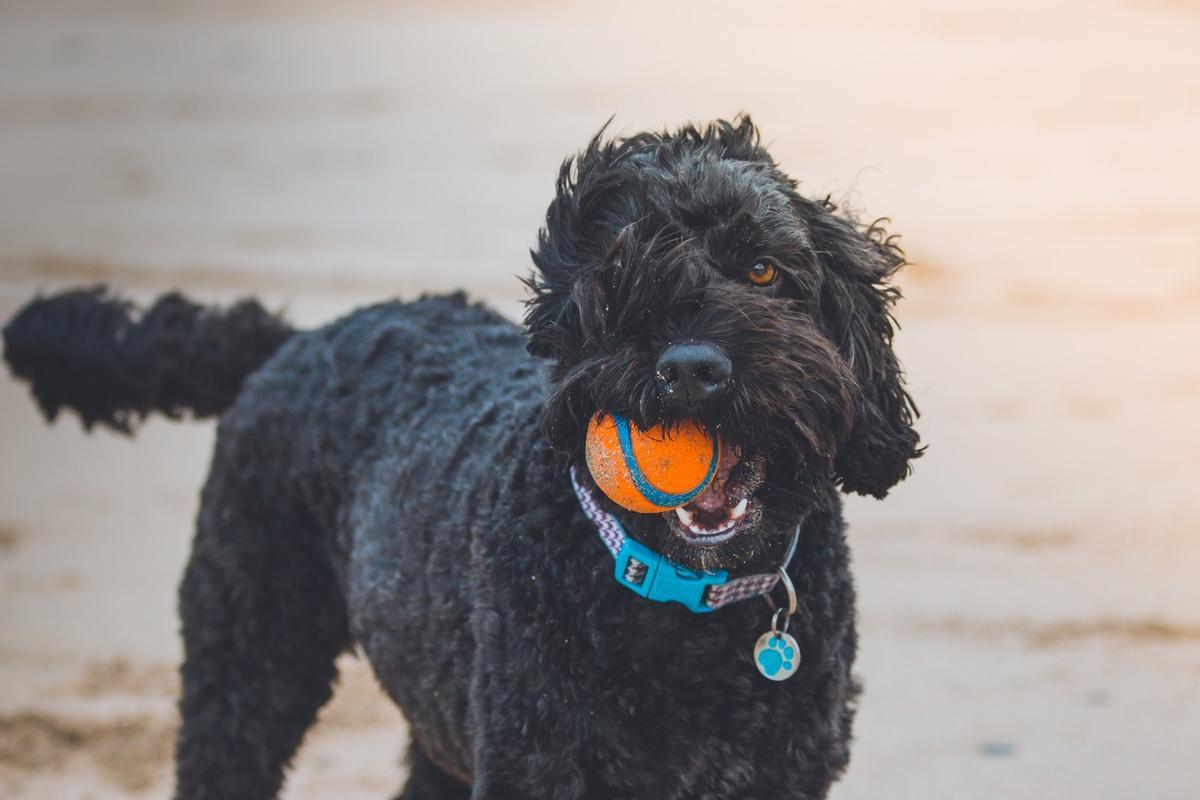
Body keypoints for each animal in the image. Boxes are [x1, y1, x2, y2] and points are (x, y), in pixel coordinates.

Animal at [2, 115, 916, 796]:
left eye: (763, 269)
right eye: (616, 280)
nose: (692, 368)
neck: (682, 607)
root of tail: (297, 339)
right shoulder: (535, 765)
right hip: (249, 656)